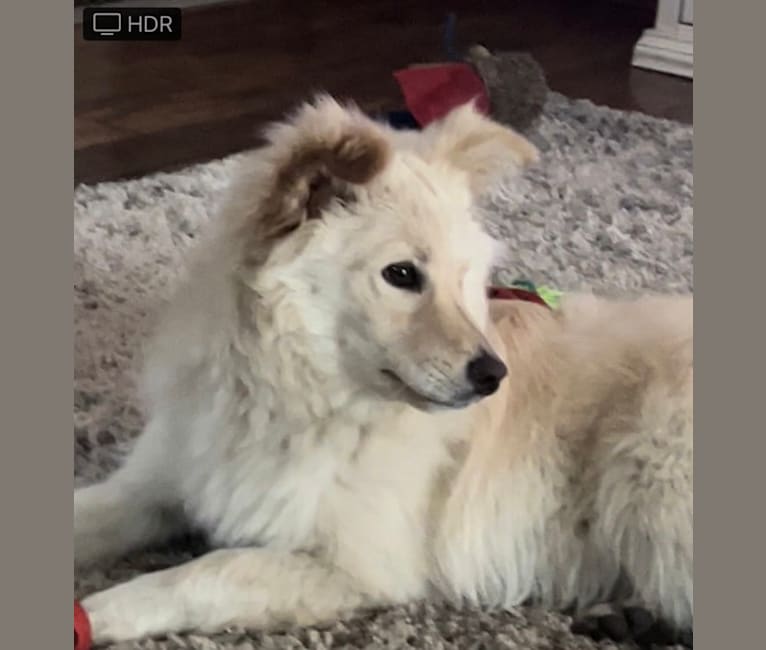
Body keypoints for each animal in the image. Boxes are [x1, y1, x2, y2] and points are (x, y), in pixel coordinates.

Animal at [75, 95, 692, 644]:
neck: (290, 390)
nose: (494, 375)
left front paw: (96, 613)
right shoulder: (159, 482)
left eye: (466, 279)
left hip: (650, 468)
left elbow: (204, 573)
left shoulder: (354, 565)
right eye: (401, 274)